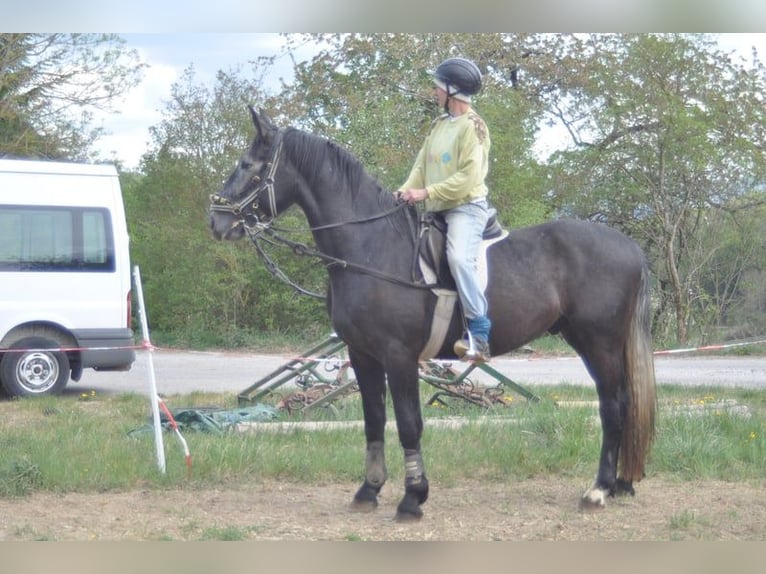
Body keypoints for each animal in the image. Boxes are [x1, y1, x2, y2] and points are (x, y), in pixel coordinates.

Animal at [210, 107, 660, 520]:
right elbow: (374, 421)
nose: (217, 221)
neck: (370, 246)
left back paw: (599, 489)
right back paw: (620, 483)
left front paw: (413, 498)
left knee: (614, 405)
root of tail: (630, 246)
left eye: (248, 166)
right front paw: (369, 490)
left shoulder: (399, 355)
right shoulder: (362, 355)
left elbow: (409, 423)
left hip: (598, 342)